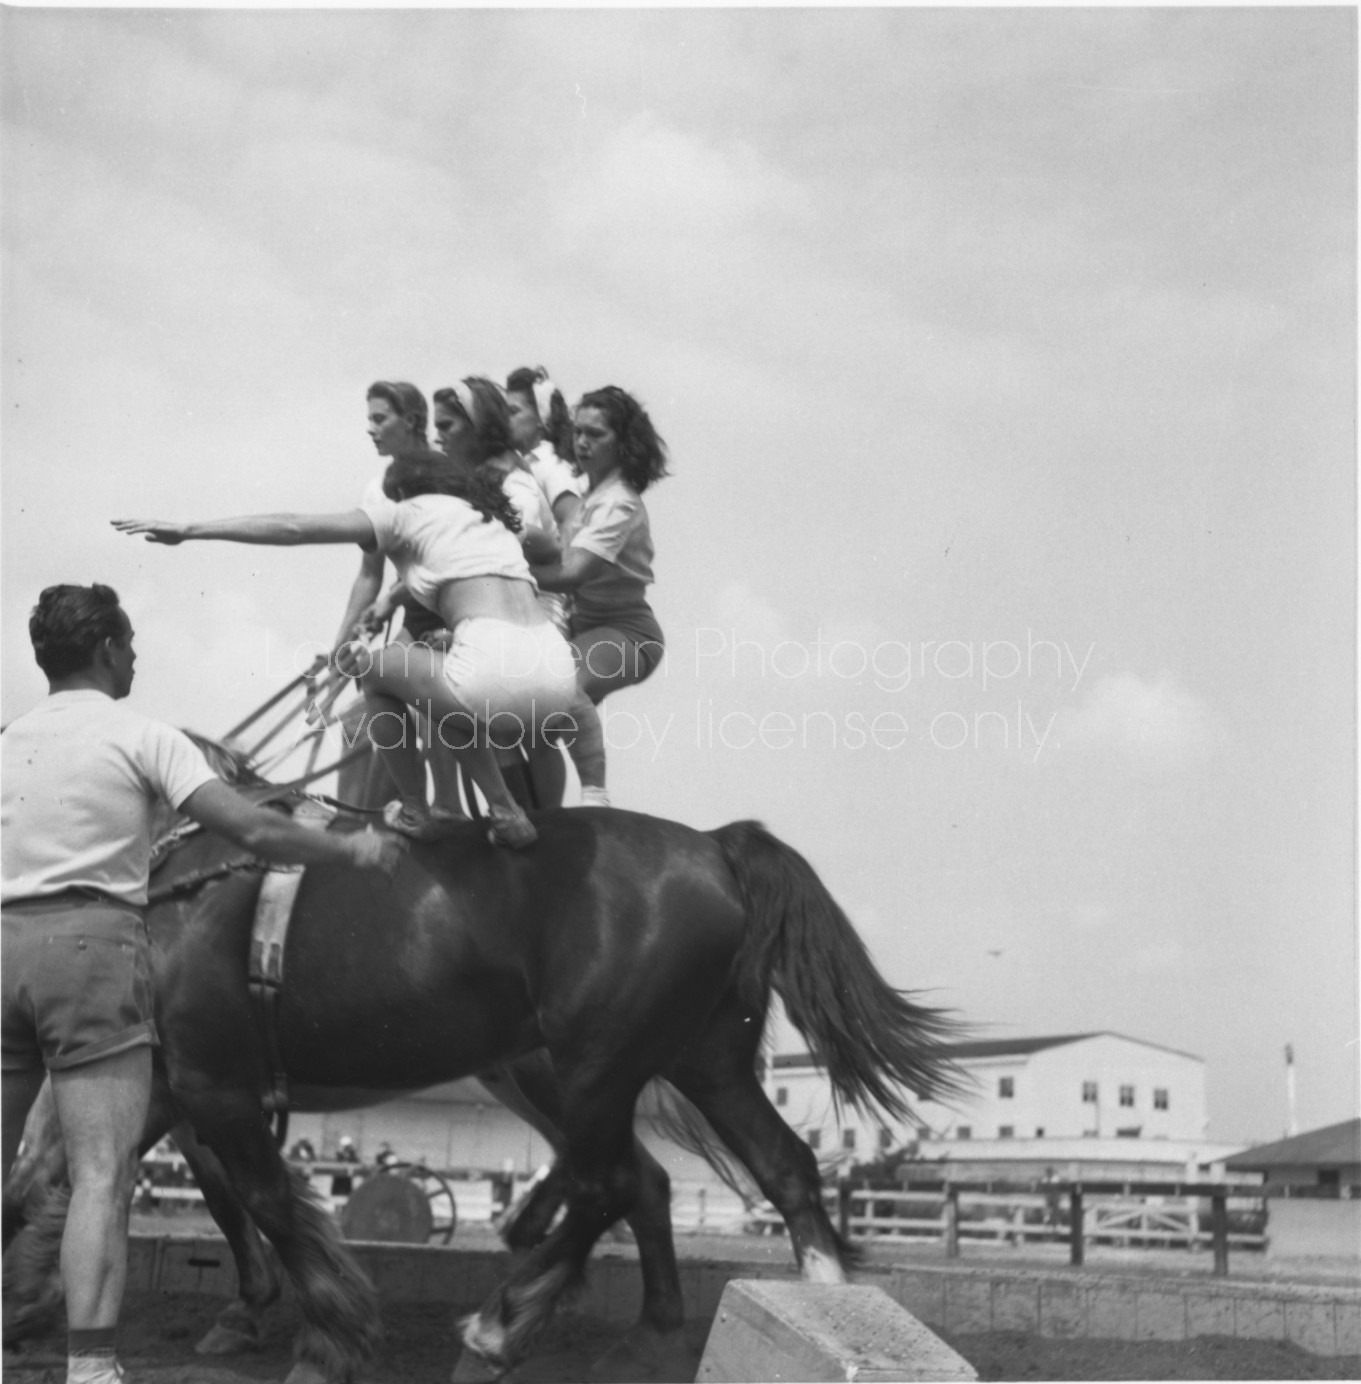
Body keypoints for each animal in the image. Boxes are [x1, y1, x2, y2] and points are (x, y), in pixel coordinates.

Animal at [2, 786, 958, 1378]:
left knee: (613, 1183)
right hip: (701, 1059)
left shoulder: (212, 1083)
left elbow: (263, 1200)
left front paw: (327, 1342)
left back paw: (500, 1327)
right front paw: (27, 1298)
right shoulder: (161, 1081)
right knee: (774, 1169)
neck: (180, 885)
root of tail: (715, 847)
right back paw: (778, 1315)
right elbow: (44, 1183)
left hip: (594, 1064)